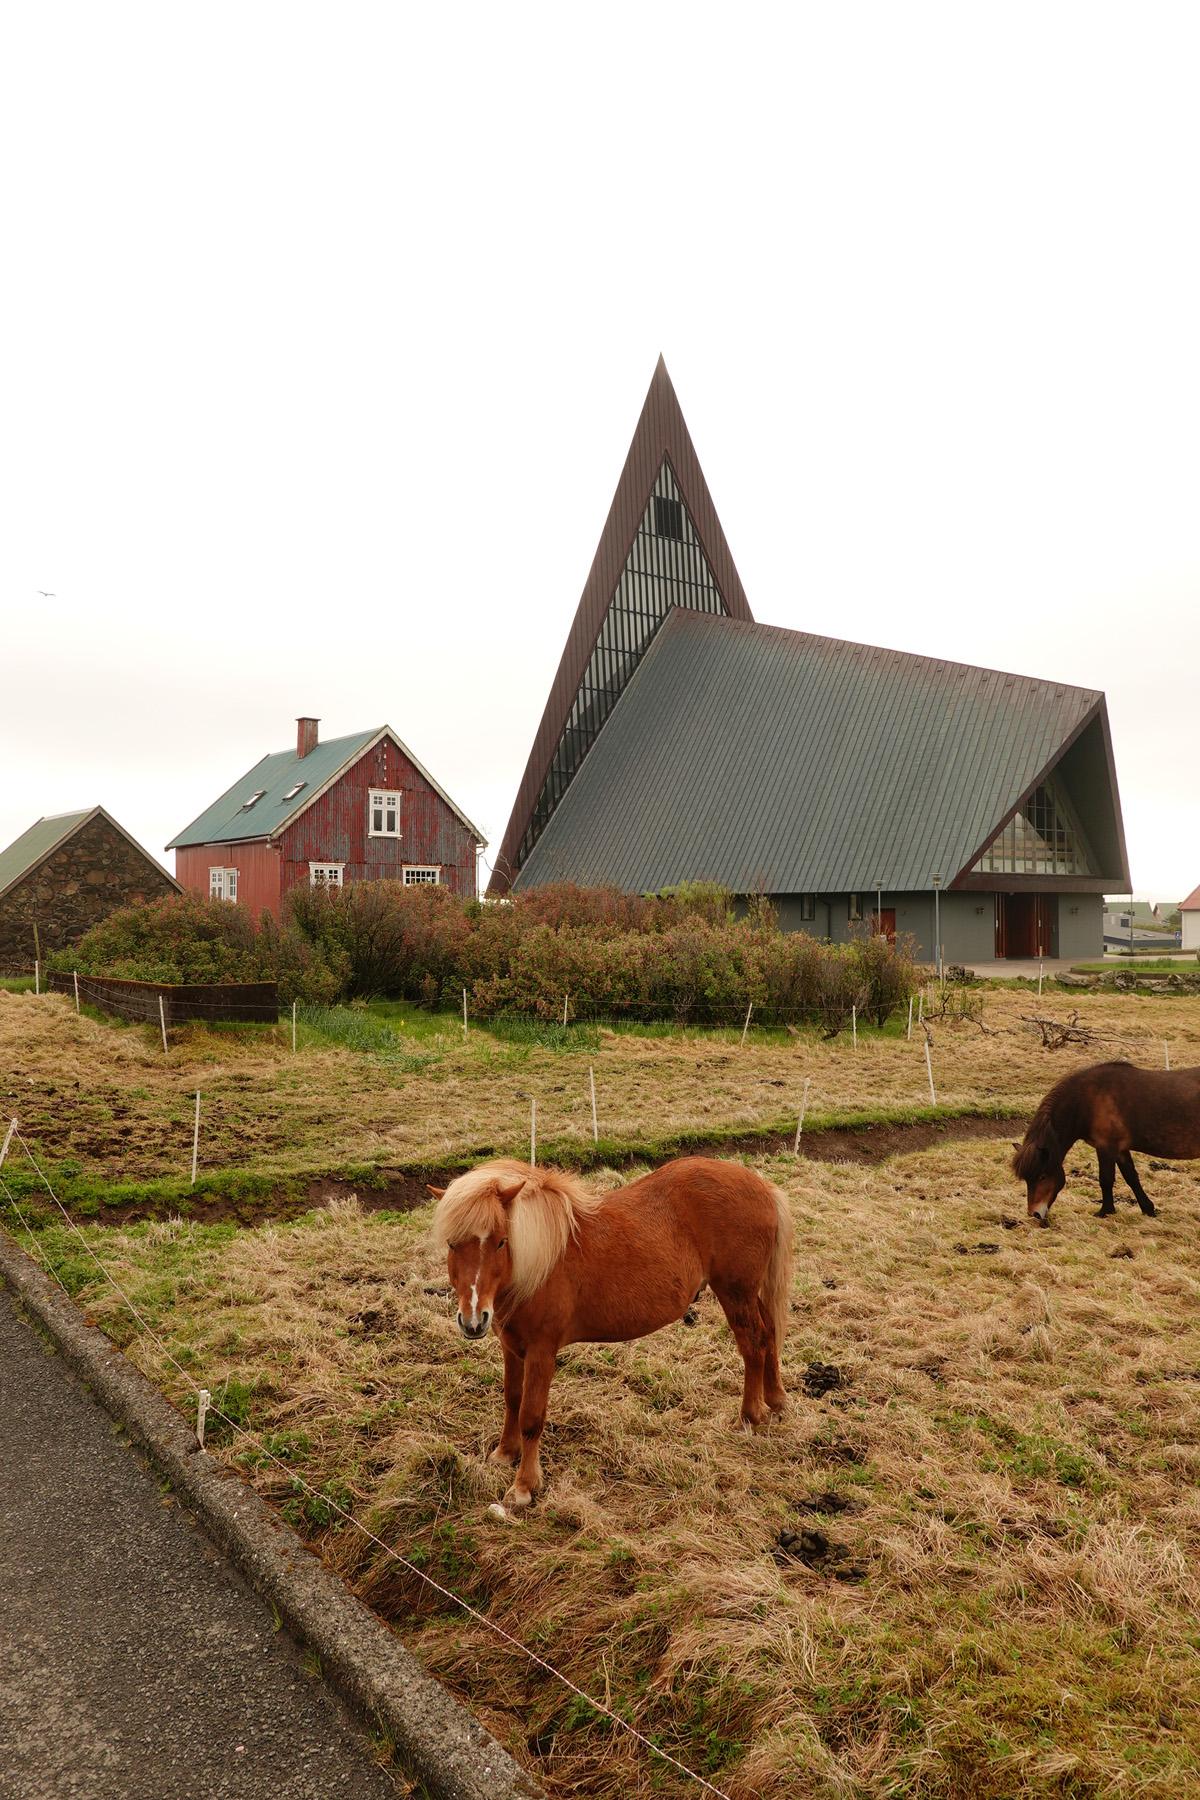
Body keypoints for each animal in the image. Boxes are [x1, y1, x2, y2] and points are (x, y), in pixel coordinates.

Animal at [426, 1152, 791, 1504]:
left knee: (753, 1344)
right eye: (452, 1244)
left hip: (735, 1293)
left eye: (501, 1242)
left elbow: (530, 1416)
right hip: (748, 1294)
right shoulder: (511, 1347)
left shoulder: (541, 1352)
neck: (536, 1264)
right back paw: (776, 1402)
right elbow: (512, 1400)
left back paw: (749, 1416)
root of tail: (761, 1186)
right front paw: (504, 1453)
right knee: (770, 1334)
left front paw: (524, 1487)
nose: (474, 1320)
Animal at [1014, 1051, 1200, 1224]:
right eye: (1027, 1179)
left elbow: (1106, 1179)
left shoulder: (1106, 1147)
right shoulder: (1120, 1149)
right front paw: (1147, 1208)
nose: (1034, 1213)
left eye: (1042, 1177)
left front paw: (1105, 1211)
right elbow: (1131, 1177)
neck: (1088, 1099)